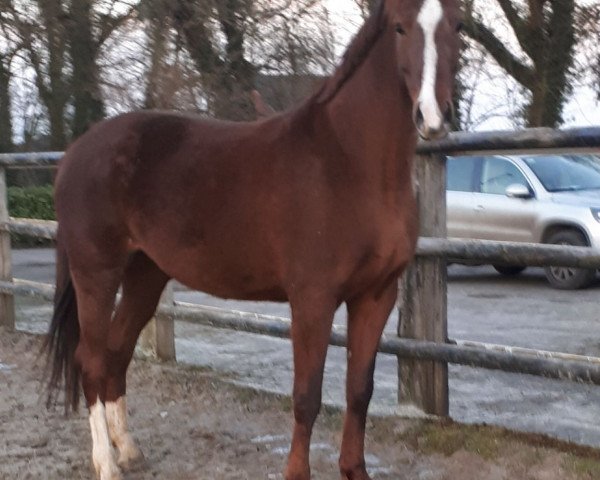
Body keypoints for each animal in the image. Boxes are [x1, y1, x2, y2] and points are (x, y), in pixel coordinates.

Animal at [45, 1, 460, 478]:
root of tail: (74, 153)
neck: (349, 163)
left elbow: (359, 391)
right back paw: (106, 463)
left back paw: (128, 450)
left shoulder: (376, 296)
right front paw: (297, 472)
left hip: (145, 275)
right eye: (399, 28)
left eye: (457, 26)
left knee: (117, 353)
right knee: (91, 360)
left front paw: (355, 470)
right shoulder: (313, 299)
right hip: (96, 273)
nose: (433, 117)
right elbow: (307, 396)